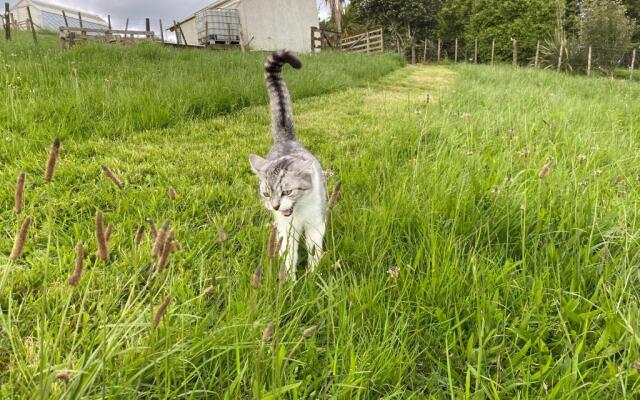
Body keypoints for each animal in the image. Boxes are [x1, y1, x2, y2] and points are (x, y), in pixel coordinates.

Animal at [249, 50, 328, 282]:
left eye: (287, 192)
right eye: (266, 194)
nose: (275, 206)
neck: (298, 213)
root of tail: (286, 139)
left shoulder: (316, 224)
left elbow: (314, 250)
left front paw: (313, 277)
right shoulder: (287, 230)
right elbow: (289, 255)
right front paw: (290, 282)